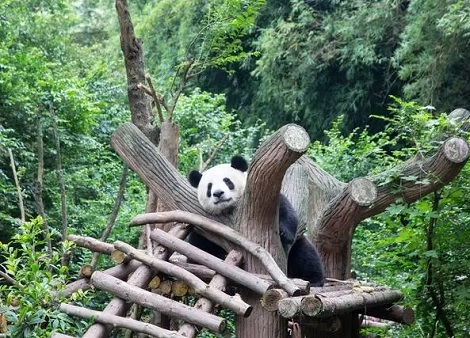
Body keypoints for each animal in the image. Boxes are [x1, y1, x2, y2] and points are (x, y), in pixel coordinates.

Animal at [186, 155, 324, 286]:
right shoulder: (203, 230)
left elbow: (286, 210)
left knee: (305, 255)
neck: (229, 209)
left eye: (227, 181)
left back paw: (314, 280)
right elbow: (199, 249)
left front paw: (285, 233)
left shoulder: (270, 202)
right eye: (209, 187)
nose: (218, 193)